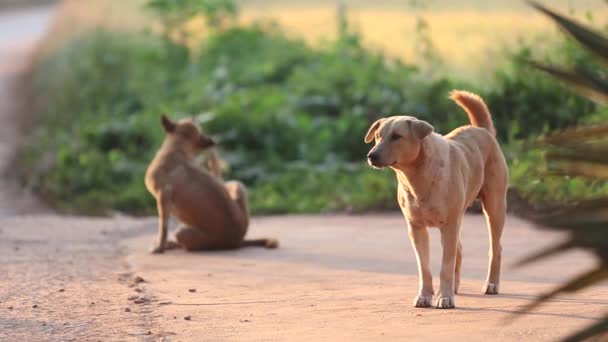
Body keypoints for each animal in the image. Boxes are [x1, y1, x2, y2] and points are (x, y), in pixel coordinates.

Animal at [146, 115, 280, 254]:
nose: (212, 141)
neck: (179, 148)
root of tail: (239, 240)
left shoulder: (163, 196)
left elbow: (163, 227)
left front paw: (160, 247)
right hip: (236, 184)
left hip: (182, 232)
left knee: (186, 245)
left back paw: (171, 244)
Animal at [366, 91, 508, 310]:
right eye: (378, 137)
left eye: (397, 136)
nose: (371, 155)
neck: (417, 178)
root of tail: (482, 130)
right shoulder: (416, 228)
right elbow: (424, 267)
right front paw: (425, 295)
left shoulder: (448, 225)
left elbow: (445, 266)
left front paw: (445, 297)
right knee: (459, 249)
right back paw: (456, 286)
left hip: (494, 207)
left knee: (495, 248)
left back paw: (491, 284)